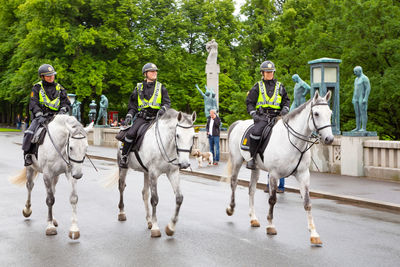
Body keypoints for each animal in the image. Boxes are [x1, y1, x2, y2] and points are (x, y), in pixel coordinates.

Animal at [104, 109, 195, 239]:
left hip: (146, 172)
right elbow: (155, 199)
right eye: (177, 135)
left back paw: (149, 220)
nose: (184, 164)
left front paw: (171, 227)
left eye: (193, 136)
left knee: (144, 193)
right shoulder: (154, 173)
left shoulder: (172, 172)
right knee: (121, 187)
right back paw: (122, 213)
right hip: (123, 167)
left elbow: (179, 198)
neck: (167, 145)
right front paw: (156, 228)